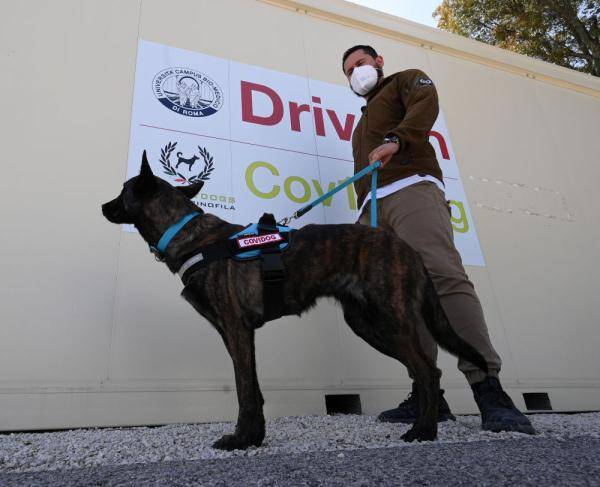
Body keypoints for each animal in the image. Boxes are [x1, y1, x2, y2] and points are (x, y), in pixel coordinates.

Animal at [102, 152, 488, 450]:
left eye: (122, 192)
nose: (103, 206)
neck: (188, 233)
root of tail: (407, 248)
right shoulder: (238, 334)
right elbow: (254, 388)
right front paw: (254, 438)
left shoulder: (236, 330)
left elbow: (244, 389)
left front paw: (240, 439)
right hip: (368, 325)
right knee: (423, 369)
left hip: (390, 319)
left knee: (427, 370)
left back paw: (424, 431)